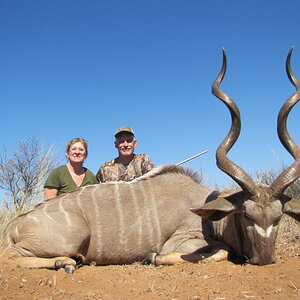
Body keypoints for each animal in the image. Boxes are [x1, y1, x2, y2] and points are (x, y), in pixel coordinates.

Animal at [0, 48, 298, 272]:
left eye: (279, 217)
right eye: (246, 215)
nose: (264, 259)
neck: (211, 214)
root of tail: (15, 226)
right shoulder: (182, 241)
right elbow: (220, 252)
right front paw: (151, 257)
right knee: (11, 257)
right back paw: (65, 262)